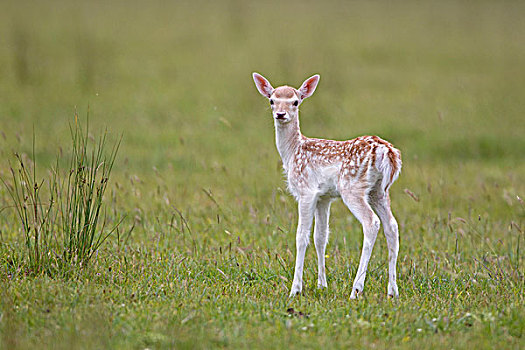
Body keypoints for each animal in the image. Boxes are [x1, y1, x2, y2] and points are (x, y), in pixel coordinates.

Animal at [253, 72, 402, 298]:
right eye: (271, 100)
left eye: (295, 102)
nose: (280, 114)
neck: (292, 152)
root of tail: (387, 152)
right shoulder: (324, 196)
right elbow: (320, 237)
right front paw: (322, 284)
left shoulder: (306, 190)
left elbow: (301, 236)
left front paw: (295, 289)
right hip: (379, 191)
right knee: (392, 226)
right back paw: (392, 291)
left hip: (352, 187)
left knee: (372, 223)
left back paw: (356, 289)